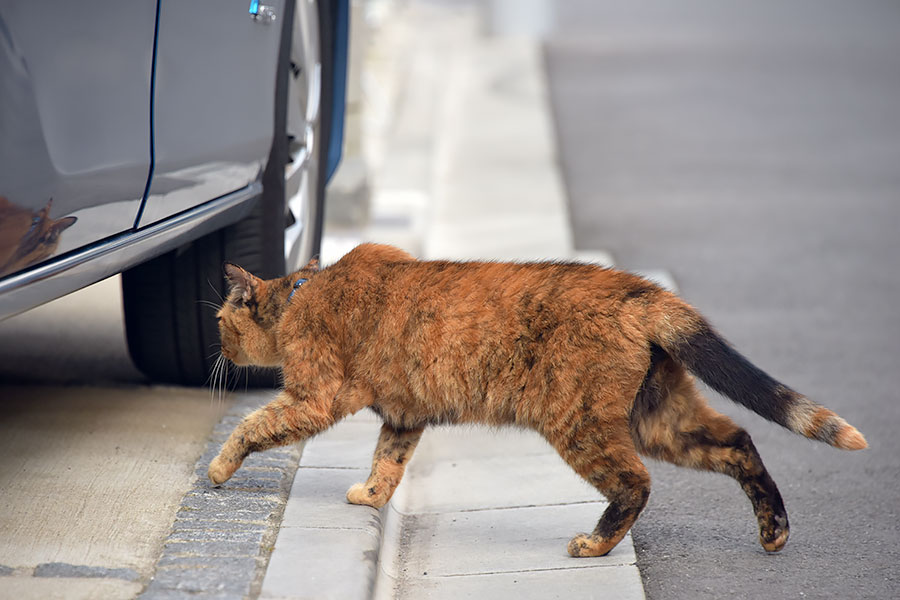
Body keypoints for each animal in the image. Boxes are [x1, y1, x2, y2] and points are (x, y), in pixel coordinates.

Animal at [206, 241, 864, 556]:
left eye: (218, 320)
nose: (215, 347)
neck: (301, 294)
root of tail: (641, 290)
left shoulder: (315, 398)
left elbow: (252, 426)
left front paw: (216, 468)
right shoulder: (404, 416)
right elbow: (387, 460)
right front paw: (371, 494)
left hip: (581, 426)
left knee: (637, 483)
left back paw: (595, 544)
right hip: (661, 419)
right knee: (738, 443)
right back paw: (774, 531)